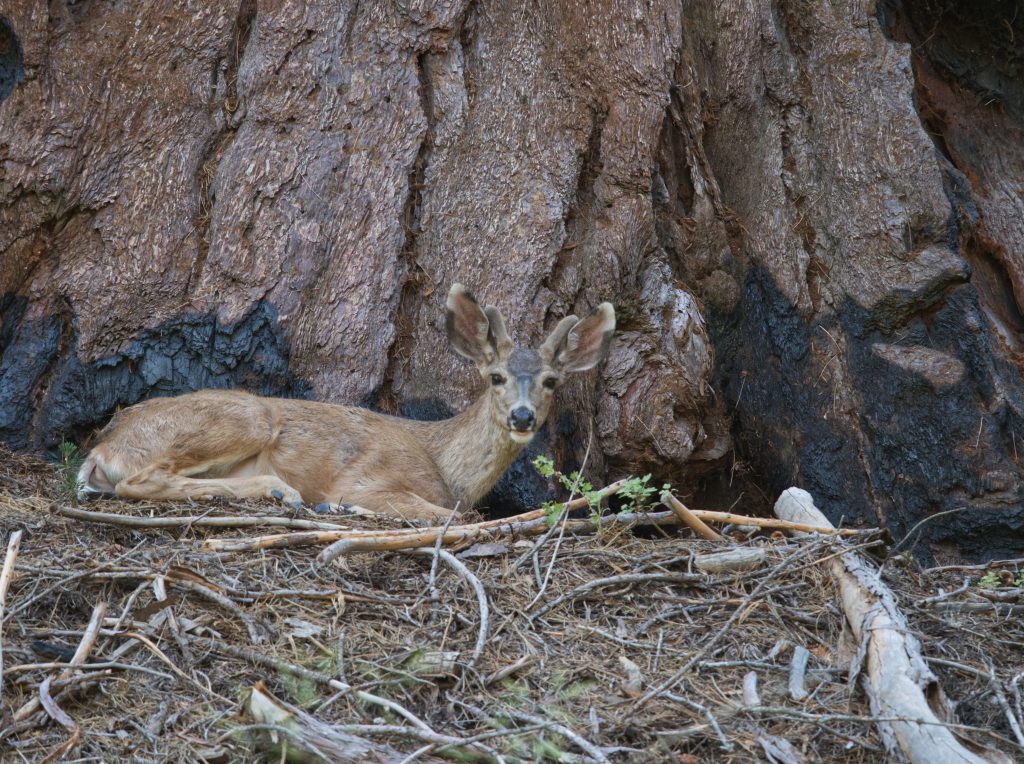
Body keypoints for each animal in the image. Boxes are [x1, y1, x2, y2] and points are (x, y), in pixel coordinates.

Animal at [76, 284, 616, 522]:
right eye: (496, 375)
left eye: (551, 381)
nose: (522, 416)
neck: (445, 466)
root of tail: (103, 449)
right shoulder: (369, 478)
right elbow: (458, 517)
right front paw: (347, 507)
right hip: (246, 417)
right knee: (140, 481)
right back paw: (282, 492)